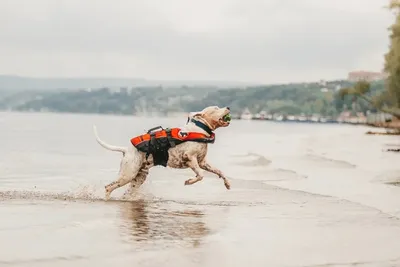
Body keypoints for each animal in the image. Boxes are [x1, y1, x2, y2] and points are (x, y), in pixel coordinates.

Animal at [93, 105, 231, 200]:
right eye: (216, 108)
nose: (228, 107)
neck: (200, 129)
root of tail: (126, 150)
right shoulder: (190, 158)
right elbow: (201, 175)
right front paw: (189, 181)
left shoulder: (202, 162)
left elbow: (220, 172)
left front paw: (227, 184)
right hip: (128, 174)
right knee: (108, 187)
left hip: (139, 177)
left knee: (126, 192)